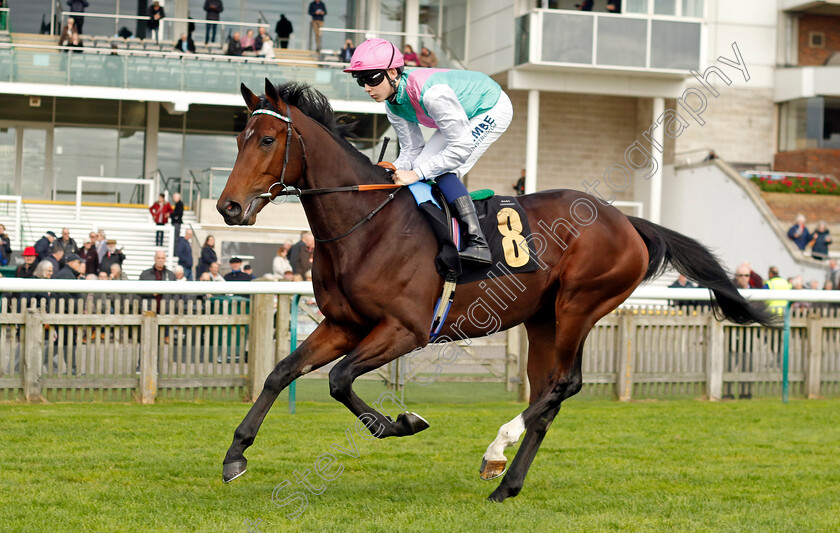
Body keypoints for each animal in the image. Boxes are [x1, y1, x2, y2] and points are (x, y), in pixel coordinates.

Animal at [217, 81, 776, 500]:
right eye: (239, 138)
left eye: (267, 140)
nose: (228, 207)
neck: (365, 224)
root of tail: (629, 222)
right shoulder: (342, 325)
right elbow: (281, 372)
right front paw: (235, 455)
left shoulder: (406, 329)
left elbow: (338, 380)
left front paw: (402, 422)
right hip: (543, 318)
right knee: (547, 395)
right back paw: (506, 483)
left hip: (579, 305)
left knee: (562, 386)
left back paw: (496, 451)